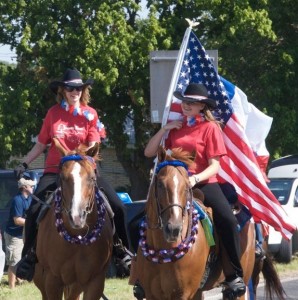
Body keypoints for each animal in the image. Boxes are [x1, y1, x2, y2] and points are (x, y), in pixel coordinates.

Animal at [33, 139, 113, 298]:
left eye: (92, 178)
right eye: (63, 178)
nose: (77, 217)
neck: (77, 238)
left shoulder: (95, 281)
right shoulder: (52, 280)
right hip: (41, 276)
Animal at [133, 146, 258, 300]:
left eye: (187, 186)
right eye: (160, 184)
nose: (174, 229)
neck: (163, 251)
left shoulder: (183, 293)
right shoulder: (152, 294)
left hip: (241, 283)